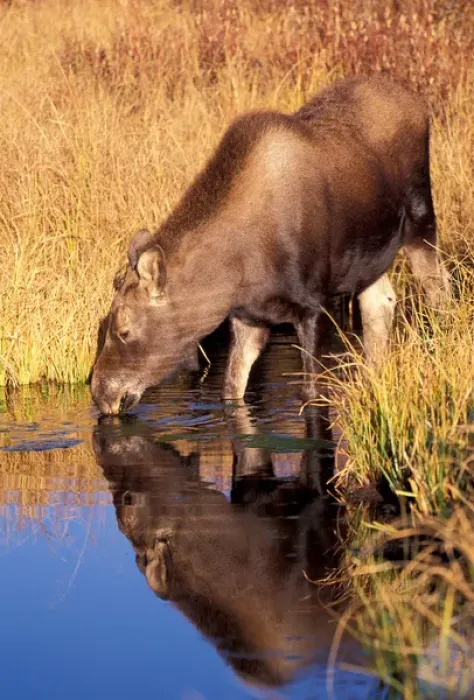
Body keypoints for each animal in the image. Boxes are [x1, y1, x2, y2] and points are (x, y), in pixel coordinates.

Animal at [91, 76, 450, 415]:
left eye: (124, 330)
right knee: (381, 301)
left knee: (440, 285)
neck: (236, 273)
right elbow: (232, 389)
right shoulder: (248, 317)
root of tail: (420, 103)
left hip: (421, 218)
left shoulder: (314, 305)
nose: (99, 394)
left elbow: (311, 392)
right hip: (370, 256)